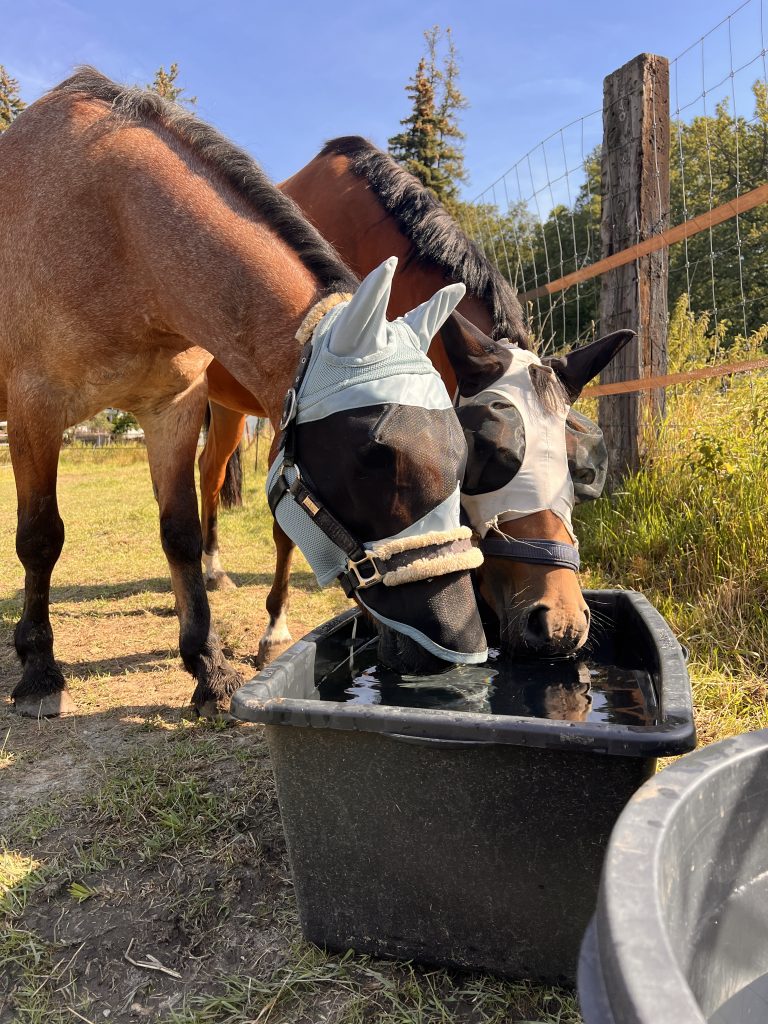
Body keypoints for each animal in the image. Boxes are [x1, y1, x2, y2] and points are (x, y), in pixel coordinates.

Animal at [0, 72, 486, 718]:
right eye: (374, 458)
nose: (460, 645)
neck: (110, 230)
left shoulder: (174, 407)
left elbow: (179, 532)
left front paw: (208, 668)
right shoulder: (34, 408)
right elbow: (39, 537)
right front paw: (38, 670)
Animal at [200, 136, 630, 662]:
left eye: (581, 469)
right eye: (484, 452)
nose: (562, 623)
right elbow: (289, 522)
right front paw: (275, 628)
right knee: (208, 474)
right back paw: (212, 568)